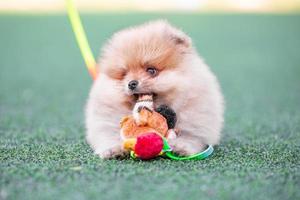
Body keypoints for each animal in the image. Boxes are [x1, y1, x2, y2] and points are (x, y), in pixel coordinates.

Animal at [85, 19, 224, 159]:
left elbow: (189, 137)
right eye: (124, 75)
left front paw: (180, 148)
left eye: (151, 70)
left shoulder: (195, 122)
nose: (131, 83)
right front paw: (114, 149)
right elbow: (109, 135)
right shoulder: (105, 122)